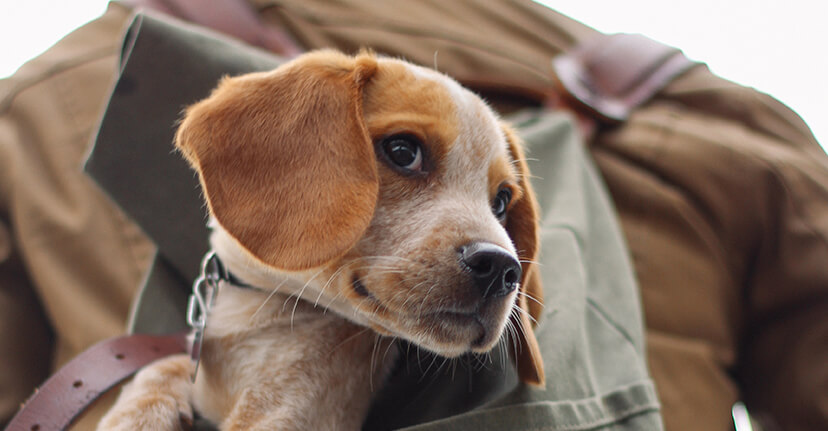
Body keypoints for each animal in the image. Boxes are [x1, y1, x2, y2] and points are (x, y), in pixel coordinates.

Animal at [97, 51, 548, 431]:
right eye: (403, 151)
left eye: (502, 201)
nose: (502, 269)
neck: (257, 310)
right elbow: (163, 366)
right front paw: (140, 413)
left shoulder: (289, 415)